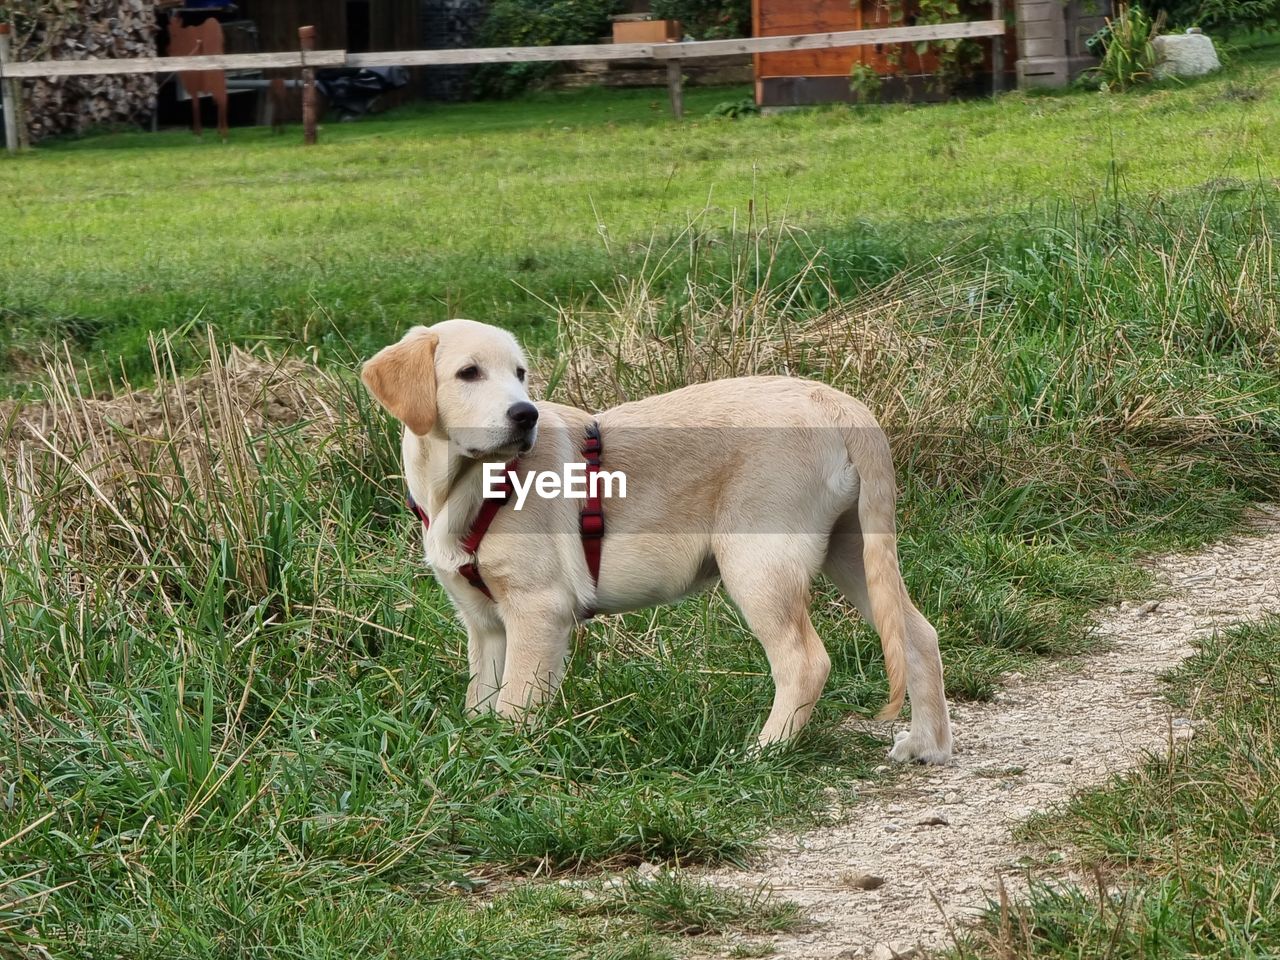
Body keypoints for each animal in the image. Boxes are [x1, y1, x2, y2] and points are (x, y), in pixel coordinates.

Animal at [360, 320, 952, 762]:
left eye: (520, 375)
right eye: (468, 373)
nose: (525, 415)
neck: (471, 487)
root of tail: (836, 402)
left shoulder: (538, 609)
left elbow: (516, 702)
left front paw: (504, 759)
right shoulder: (484, 625)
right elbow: (480, 697)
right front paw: (475, 749)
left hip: (758, 562)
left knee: (806, 662)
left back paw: (763, 752)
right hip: (853, 550)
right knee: (918, 635)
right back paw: (927, 745)